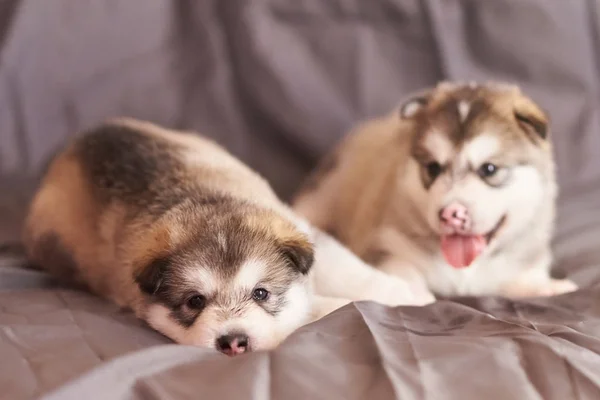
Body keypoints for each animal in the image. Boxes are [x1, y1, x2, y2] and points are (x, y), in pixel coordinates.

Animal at [21, 116, 428, 356]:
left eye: (261, 293)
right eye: (195, 301)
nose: (233, 341)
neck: (208, 202)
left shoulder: (301, 229)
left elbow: (348, 270)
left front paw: (409, 294)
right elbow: (321, 307)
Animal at [292, 80, 580, 300]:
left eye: (489, 169)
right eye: (433, 168)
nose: (451, 213)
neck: (465, 271)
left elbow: (518, 278)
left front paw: (548, 287)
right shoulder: (384, 243)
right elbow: (403, 269)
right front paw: (415, 293)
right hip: (323, 194)